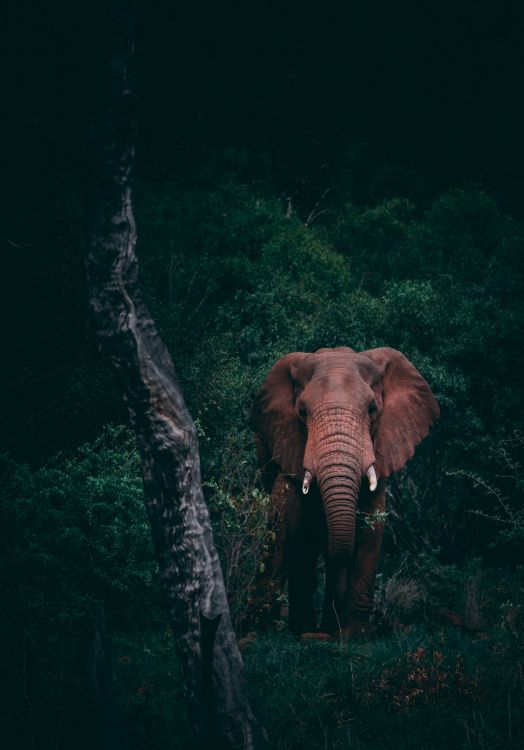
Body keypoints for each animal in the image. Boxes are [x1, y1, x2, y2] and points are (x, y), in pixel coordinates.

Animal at [249, 346, 439, 637]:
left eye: (372, 409)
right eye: (301, 411)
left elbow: (372, 523)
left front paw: (354, 634)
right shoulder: (286, 440)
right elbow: (283, 519)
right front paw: (259, 630)